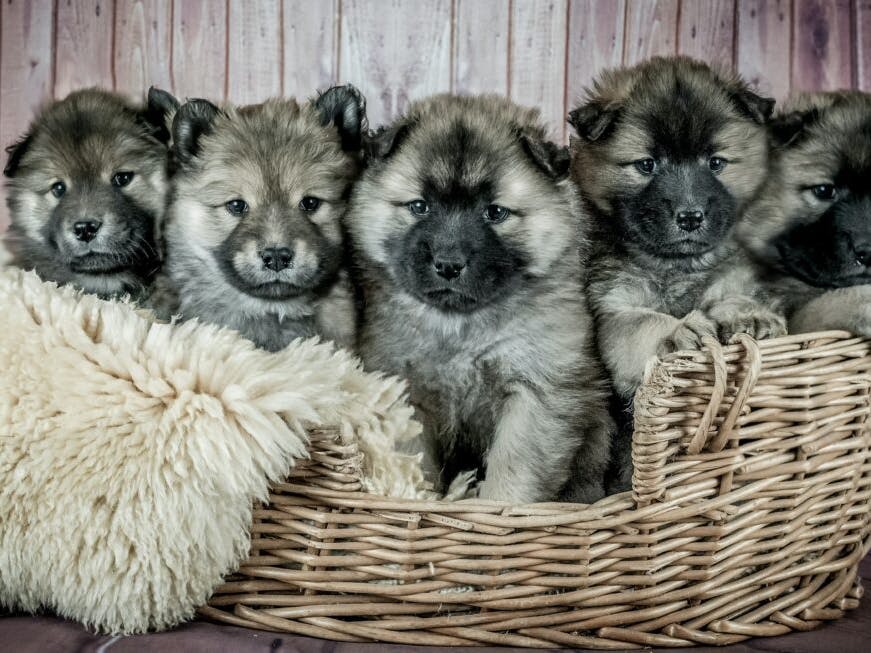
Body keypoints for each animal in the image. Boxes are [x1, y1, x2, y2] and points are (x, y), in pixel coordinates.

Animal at [348, 94, 612, 502]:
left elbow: (513, 469)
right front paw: (420, 499)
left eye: (495, 213)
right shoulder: (407, 395)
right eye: (420, 206)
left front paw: (499, 506)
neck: (461, 326)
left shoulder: (532, 393)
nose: (448, 263)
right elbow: (414, 461)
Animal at [568, 57, 788, 488]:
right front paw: (680, 329)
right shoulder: (612, 311)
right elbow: (643, 323)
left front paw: (750, 315)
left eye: (716, 163)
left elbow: (733, 294)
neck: (675, 265)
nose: (689, 217)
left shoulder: (730, 276)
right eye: (646, 165)